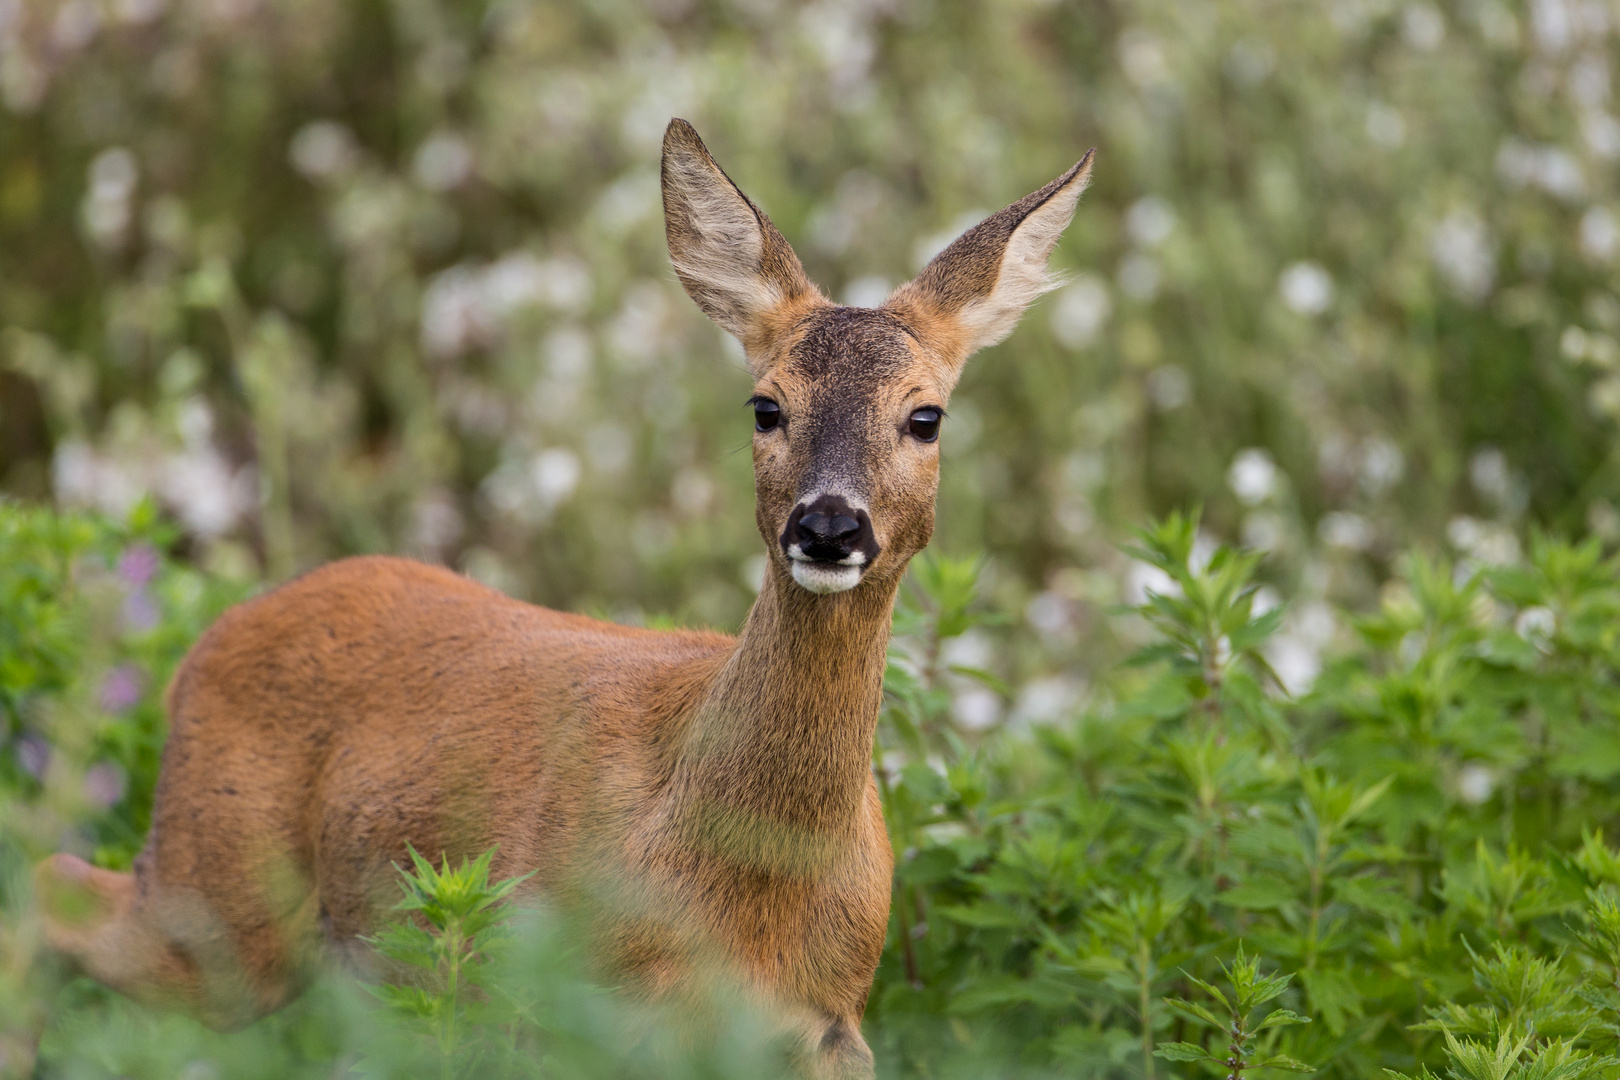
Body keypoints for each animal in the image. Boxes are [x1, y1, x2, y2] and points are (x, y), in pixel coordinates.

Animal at [38, 122, 1095, 1075]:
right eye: (765, 406)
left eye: (926, 416)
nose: (829, 527)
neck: (742, 882)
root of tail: (217, 634)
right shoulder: (557, 999)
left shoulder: (830, 1020)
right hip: (214, 892)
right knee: (56, 885)